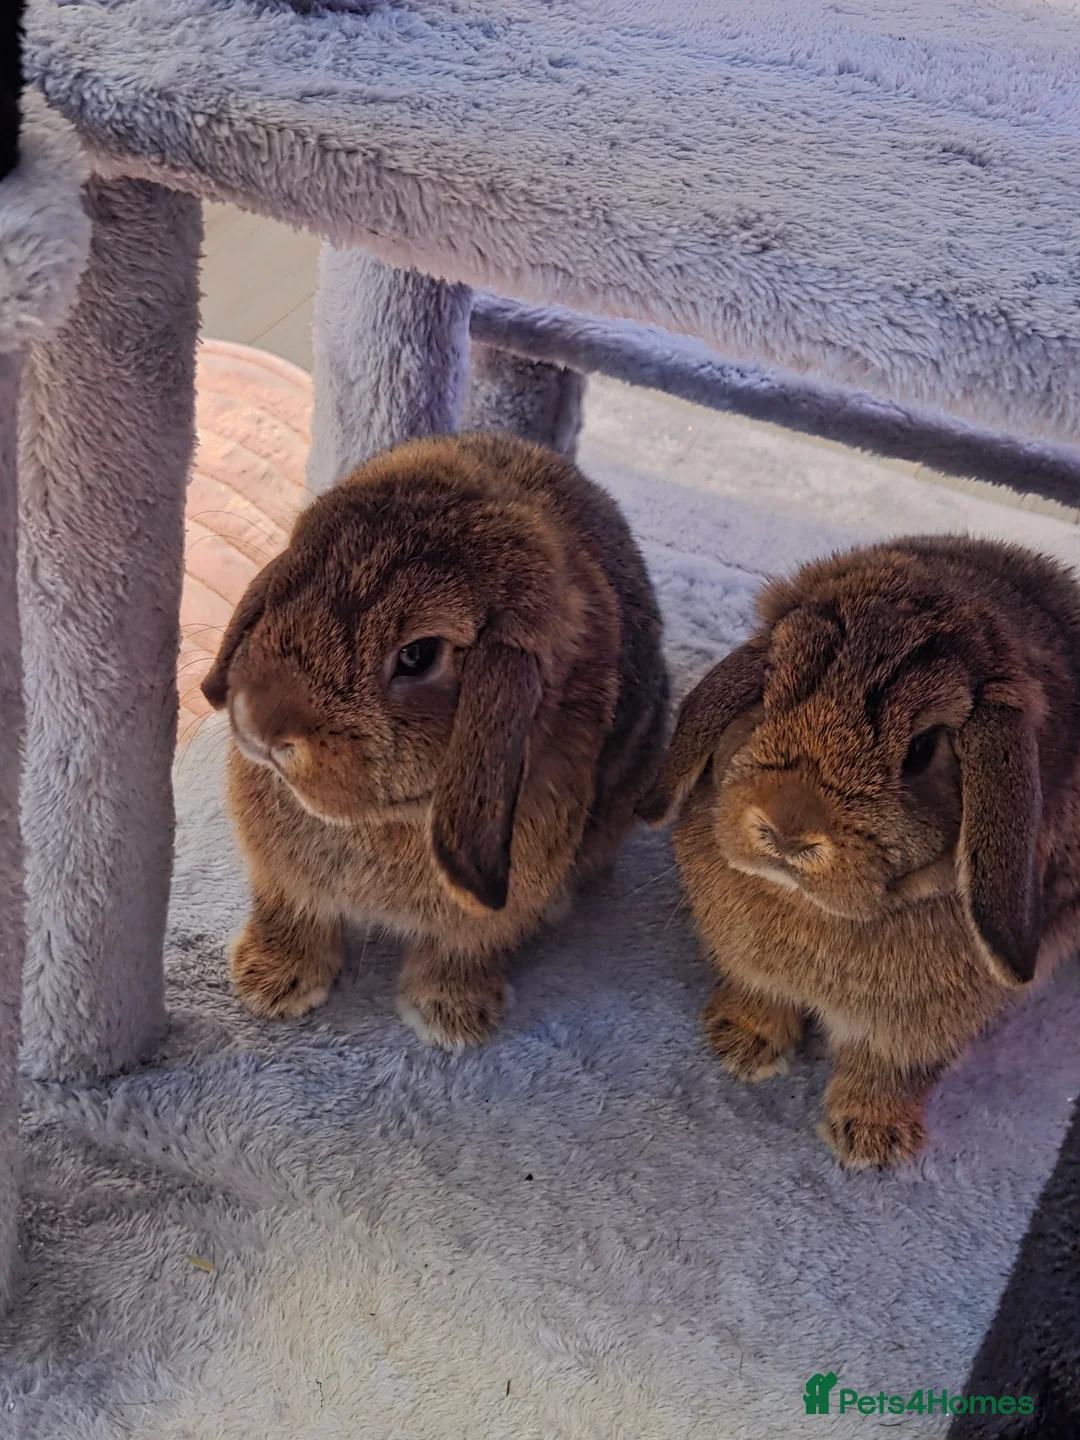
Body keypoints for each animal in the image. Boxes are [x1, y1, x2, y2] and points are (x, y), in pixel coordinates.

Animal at [201, 431, 668, 1050]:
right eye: (290, 582)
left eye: (418, 655)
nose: (260, 719)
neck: (385, 820)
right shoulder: (283, 881)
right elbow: (294, 912)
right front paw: (271, 985)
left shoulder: (487, 918)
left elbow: (462, 949)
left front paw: (452, 1020)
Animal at [639, 535, 1080, 1170]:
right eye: (767, 696)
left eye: (922, 750)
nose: (788, 830)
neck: (810, 908)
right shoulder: (752, 970)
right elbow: (759, 997)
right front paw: (742, 1047)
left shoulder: (913, 1030)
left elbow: (887, 1070)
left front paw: (870, 1141)